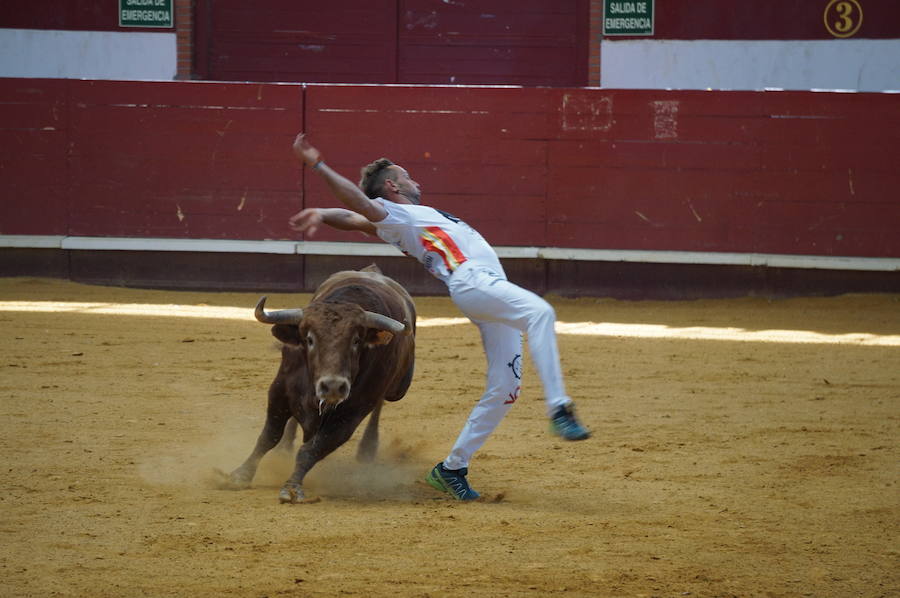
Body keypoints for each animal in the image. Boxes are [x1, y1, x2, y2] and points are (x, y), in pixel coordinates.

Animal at [221, 264, 414, 504]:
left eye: (356, 340)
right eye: (310, 339)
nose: (332, 387)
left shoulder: (350, 415)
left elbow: (311, 450)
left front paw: (292, 487)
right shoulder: (279, 391)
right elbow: (268, 436)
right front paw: (241, 475)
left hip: (397, 389)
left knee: (380, 404)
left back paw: (367, 449)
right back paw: (285, 447)